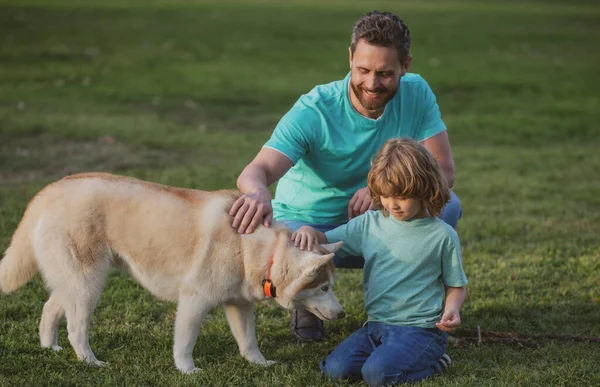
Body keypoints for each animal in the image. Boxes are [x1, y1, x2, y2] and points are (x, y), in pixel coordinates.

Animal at [0, 173, 344, 372]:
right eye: (324, 288)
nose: (342, 314)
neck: (259, 249)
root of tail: (51, 188)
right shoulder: (194, 301)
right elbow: (185, 342)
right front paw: (187, 370)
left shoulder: (239, 304)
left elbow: (249, 341)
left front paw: (259, 364)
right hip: (88, 284)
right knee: (76, 328)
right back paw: (90, 361)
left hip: (74, 282)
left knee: (49, 308)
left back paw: (50, 347)